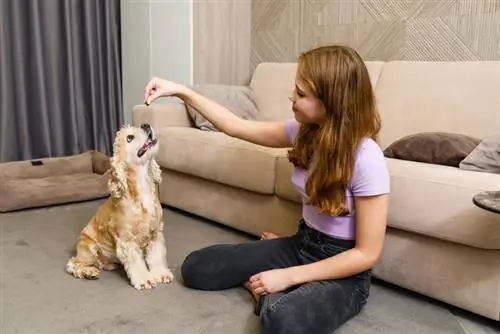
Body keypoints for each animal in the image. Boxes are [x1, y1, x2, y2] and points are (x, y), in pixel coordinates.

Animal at [65, 122, 174, 290]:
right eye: (129, 138)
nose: (146, 125)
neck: (142, 185)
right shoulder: (126, 240)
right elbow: (136, 263)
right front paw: (145, 280)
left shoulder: (155, 233)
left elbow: (156, 257)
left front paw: (161, 273)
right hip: (88, 248)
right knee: (73, 263)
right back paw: (88, 272)